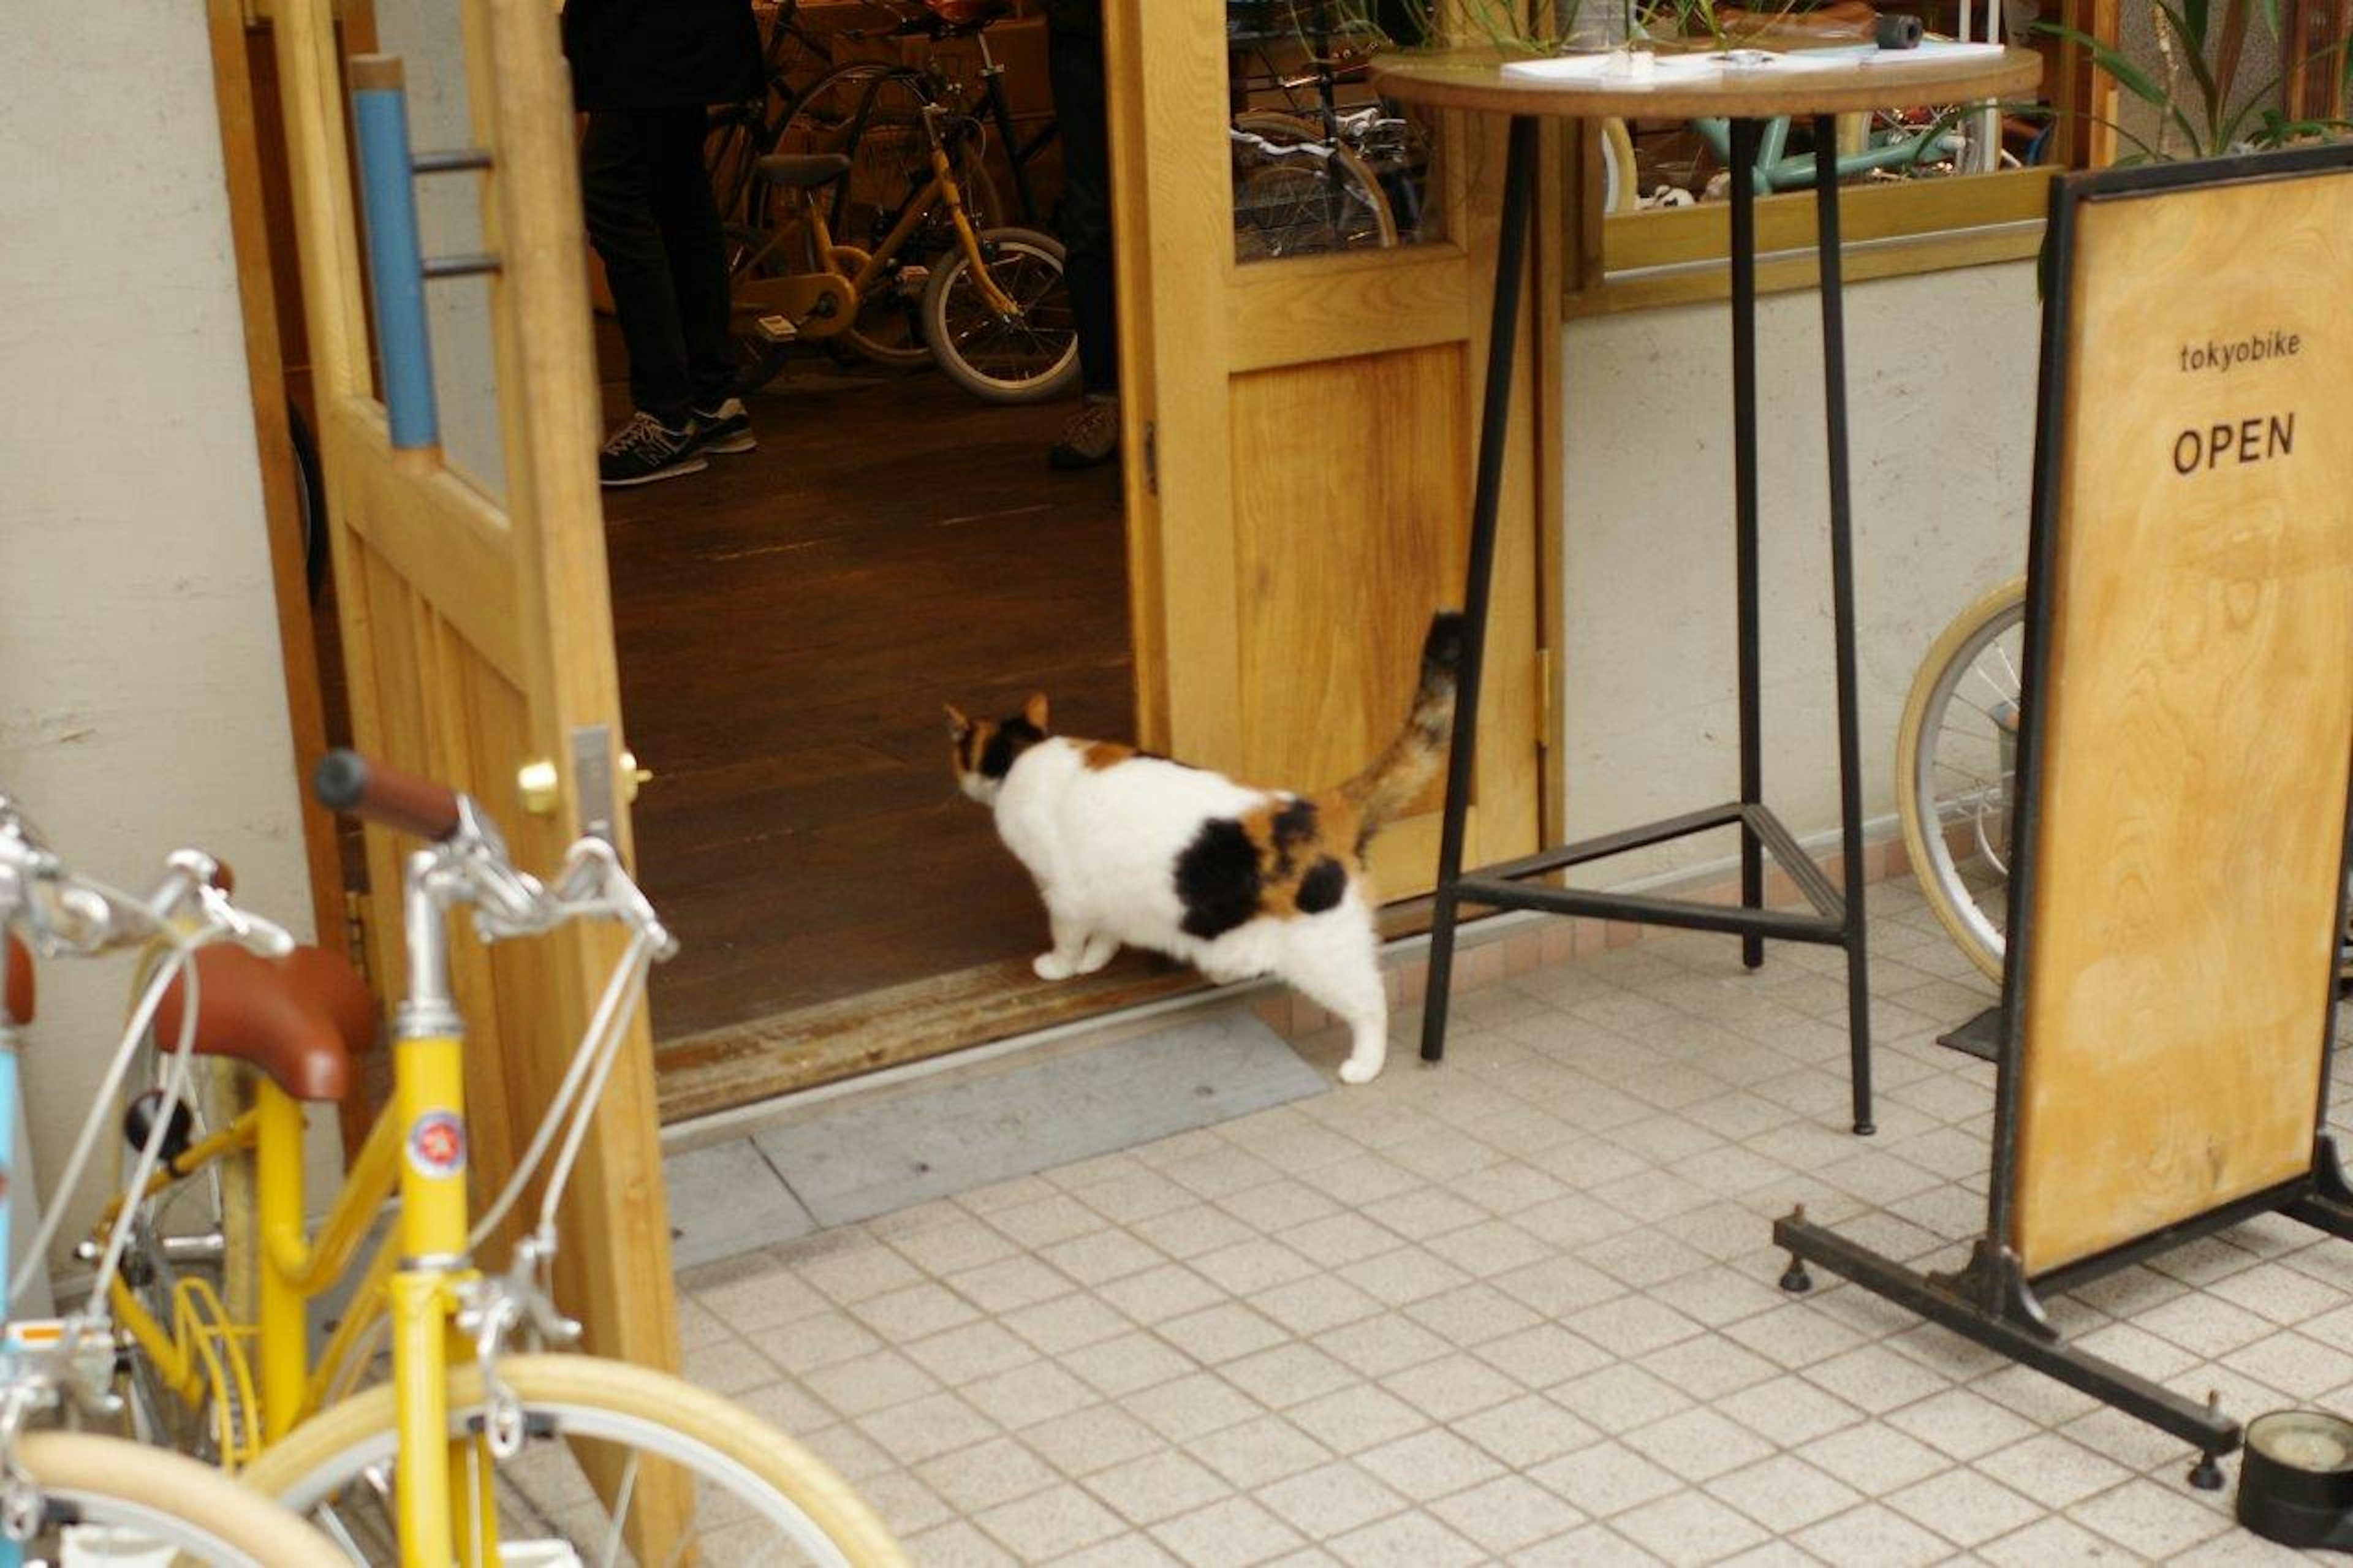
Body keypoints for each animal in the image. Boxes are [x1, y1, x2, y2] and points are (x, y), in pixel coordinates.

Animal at [945, 602, 1458, 1083]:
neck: (1022, 754)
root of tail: (1323, 808)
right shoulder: (1104, 889)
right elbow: (1108, 928)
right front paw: (1096, 958)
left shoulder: (1062, 892)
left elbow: (1067, 935)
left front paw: (1061, 965)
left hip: (1324, 953)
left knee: (1372, 1001)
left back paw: (1363, 1065)